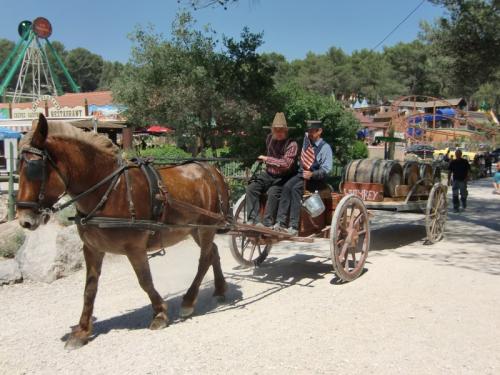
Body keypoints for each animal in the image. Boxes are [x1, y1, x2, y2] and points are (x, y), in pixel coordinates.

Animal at [16, 114, 230, 350]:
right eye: (18, 167)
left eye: (35, 168)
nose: (24, 219)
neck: (109, 188)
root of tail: (212, 170)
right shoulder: (92, 249)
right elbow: (89, 289)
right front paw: (82, 331)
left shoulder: (134, 248)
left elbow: (145, 281)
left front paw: (160, 314)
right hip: (194, 229)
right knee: (213, 252)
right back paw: (220, 289)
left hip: (206, 226)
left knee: (204, 259)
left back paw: (189, 300)